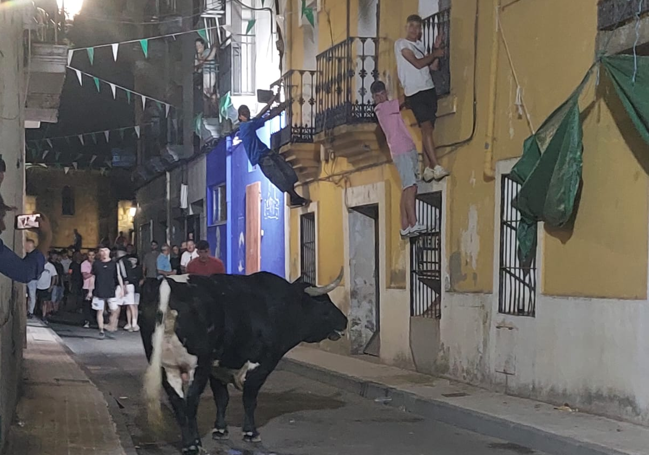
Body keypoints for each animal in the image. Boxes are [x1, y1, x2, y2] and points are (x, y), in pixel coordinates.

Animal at [139, 272, 346, 454]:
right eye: (324, 303)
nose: (344, 321)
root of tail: (169, 283)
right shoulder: (261, 364)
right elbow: (249, 398)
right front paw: (250, 432)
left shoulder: (217, 367)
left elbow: (222, 398)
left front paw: (220, 430)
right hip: (196, 366)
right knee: (190, 402)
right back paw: (192, 446)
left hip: (167, 366)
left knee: (179, 403)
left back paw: (192, 443)